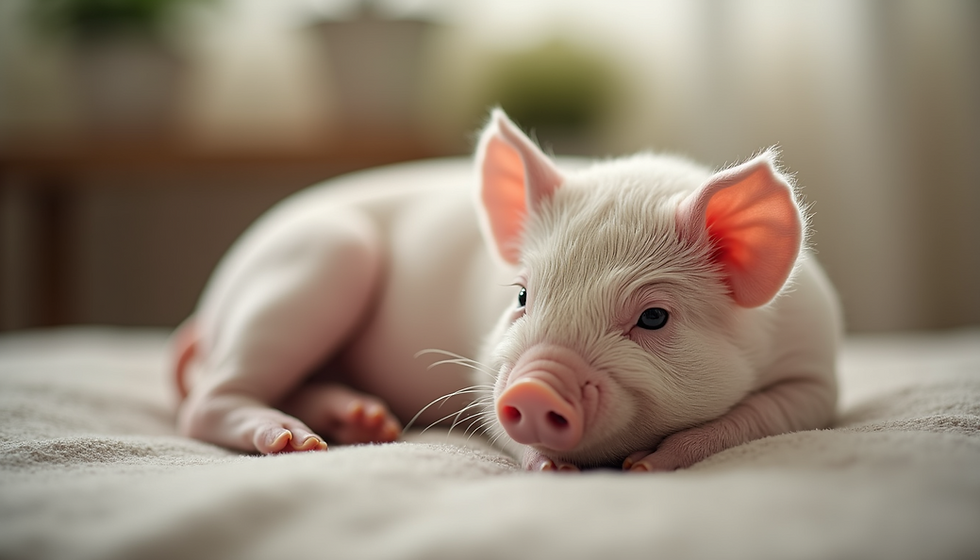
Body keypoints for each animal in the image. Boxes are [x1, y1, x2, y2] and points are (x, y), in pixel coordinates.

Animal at [172, 108, 841, 472]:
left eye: (654, 317)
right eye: (521, 298)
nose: (534, 386)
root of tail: (211, 305)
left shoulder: (817, 377)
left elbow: (756, 419)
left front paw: (645, 464)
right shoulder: (484, 369)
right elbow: (493, 418)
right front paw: (553, 468)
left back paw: (364, 425)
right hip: (312, 266)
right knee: (202, 403)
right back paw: (298, 443)